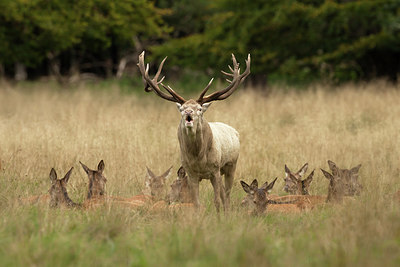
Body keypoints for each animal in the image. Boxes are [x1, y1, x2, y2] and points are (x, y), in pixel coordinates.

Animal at [138, 51, 250, 213]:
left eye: (199, 109)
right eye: (182, 109)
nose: (188, 112)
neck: (199, 157)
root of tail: (235, 132)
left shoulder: (214, 170)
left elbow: (216, 200)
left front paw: (219, 216)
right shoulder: (191, 173)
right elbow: (196, 203)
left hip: (230, 165)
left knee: (227, 195)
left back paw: (227, 213)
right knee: (224, 193)